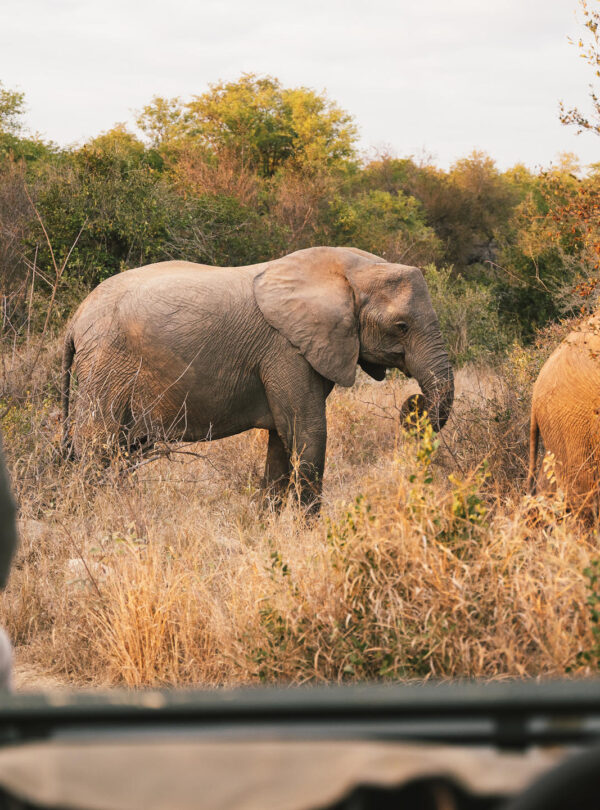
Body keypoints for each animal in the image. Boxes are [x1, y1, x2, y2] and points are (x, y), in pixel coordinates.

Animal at [61, 246, 454, 512]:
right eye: (401, 327)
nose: (415, 404)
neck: (347, 272)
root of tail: (76, 316)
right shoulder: (286, 350)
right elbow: (308, 432)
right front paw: (307, 536)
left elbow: (283, 440)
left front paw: (269, 528)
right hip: (106, 365)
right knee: (97, 447)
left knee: (123, 452)